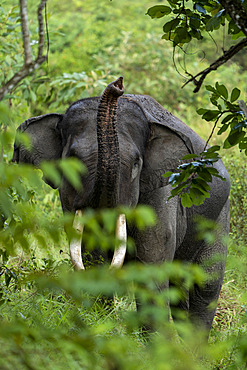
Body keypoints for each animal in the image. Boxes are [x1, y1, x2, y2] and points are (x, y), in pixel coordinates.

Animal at [13, 76, 230, 334]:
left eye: (136, 164)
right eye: (72, 160)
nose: (118, 84)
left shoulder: (161, 193)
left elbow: (152, 262)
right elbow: (91, 257)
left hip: (219, 216)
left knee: (205, 284)